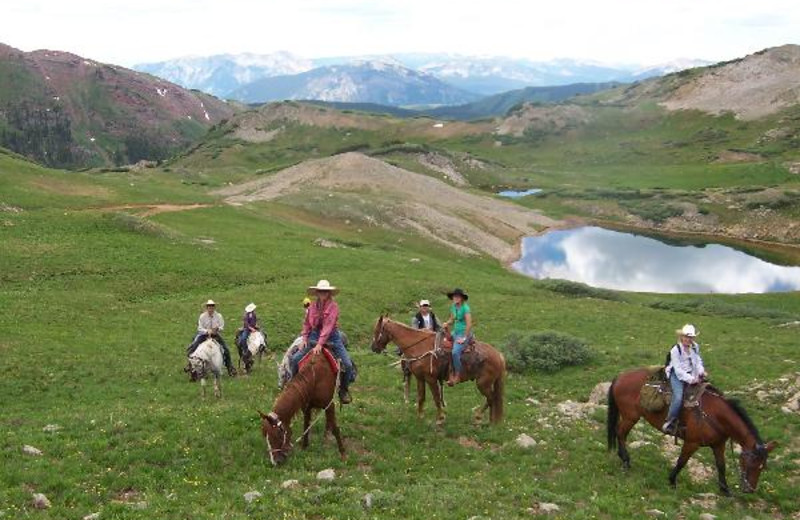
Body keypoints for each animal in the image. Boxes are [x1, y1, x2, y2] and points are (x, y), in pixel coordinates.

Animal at [370, 314, 506, 424]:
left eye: (376, 330)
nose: (373, 347)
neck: (420, 346)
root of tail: (498, 355)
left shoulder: (431, 379)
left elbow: (436, 398)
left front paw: (440, 418)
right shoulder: (420, 378)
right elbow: (421, 397)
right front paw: (420, 416)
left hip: (483, 383)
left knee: (491, 398)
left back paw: (479, 417)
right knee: (492, 399)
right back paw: (490, 420)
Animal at [608, 368, 776, 494]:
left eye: (762, 467)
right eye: (751, 464)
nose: (750, 490)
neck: (715, 415)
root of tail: (620, 376)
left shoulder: (718, 445)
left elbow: (721, 465)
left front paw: (725, 490)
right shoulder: (691, 442)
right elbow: (682, 461)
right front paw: (672, 481)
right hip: (630, 417)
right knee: (621, 433)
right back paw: (626, 461)